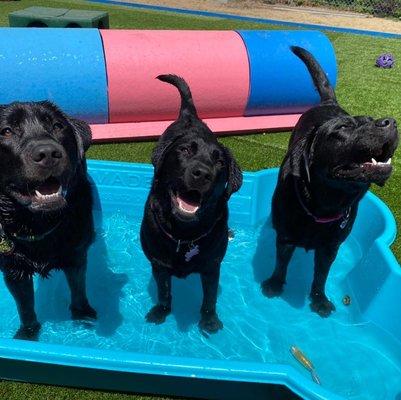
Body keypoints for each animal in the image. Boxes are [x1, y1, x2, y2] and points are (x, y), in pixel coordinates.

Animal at [0, 101, 96, 340]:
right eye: (6, 131)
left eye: (57, 126)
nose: (48, 153)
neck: (36, 222)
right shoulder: (13, 270)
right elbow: (25, 306)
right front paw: (28, 333)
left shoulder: (76, 256)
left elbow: (78, 290)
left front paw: (82, 315)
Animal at [139, 73, 242, 332]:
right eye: (185, 150)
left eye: (220, 162)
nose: (202, 173)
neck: (184, 235)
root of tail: (189, 115)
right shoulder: (159, 265)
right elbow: (164, 291)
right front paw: (161, 311)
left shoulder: (212, 265)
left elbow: (210, 296)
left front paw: (209, 320)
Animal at [262, 46, 396, 316]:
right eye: (343, 128)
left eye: (372, 119)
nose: (390, 122)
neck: (323, 205)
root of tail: (328, 103)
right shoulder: (286, 238)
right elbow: (281, 263)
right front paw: (275, 284)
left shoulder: (330, 248)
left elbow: (321, 276)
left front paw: (319, 299)